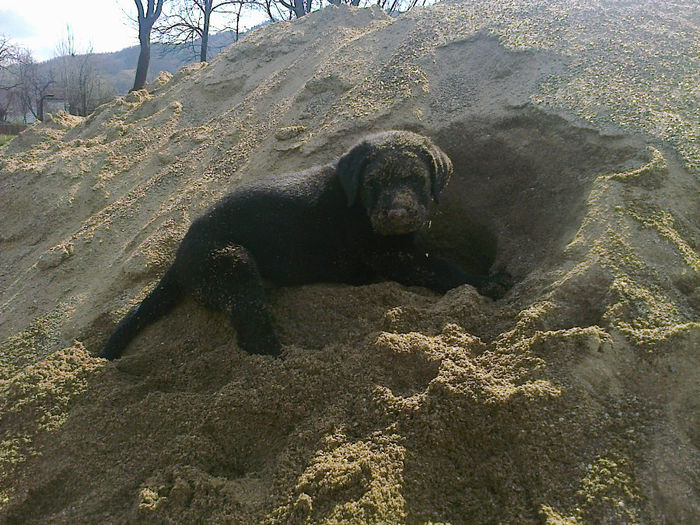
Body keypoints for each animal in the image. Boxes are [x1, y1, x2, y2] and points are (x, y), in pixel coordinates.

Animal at [104, 131, 494, 360]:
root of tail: (180, 255)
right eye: (372, 183)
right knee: (251, 329)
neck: (356, 204)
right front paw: (489, 282)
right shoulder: (388, 255)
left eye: (416, 180)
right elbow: (438, 266)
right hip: (229, 261)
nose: (397, 213)